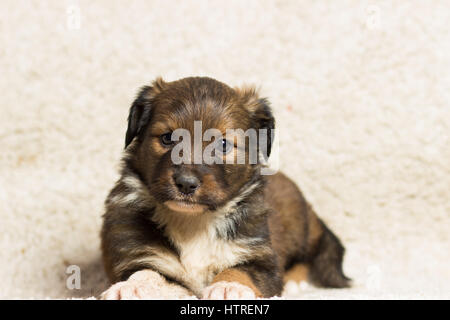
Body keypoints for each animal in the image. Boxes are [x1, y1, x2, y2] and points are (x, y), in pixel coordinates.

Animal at [100, 76, 350, 298]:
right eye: (167, 138)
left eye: (223, 144)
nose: (186, 183)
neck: (194, 222)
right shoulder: (135, 254)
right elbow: (147, 272)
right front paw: (131, 287)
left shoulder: (262, 259)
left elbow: (240, 270)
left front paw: (229, 287)